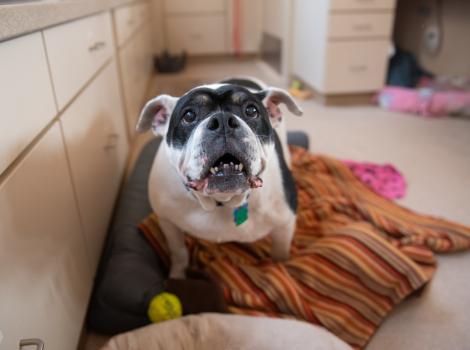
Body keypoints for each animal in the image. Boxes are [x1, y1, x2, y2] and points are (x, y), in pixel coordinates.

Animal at [136, 78, 302, 278]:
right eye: (189, 115)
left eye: (251, 110)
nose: (222, 121)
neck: (222, 201)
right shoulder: (167, 222)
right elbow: (179, 252)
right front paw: (177, 276)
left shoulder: (285, 225)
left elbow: (280, 254)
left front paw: (282, 267)